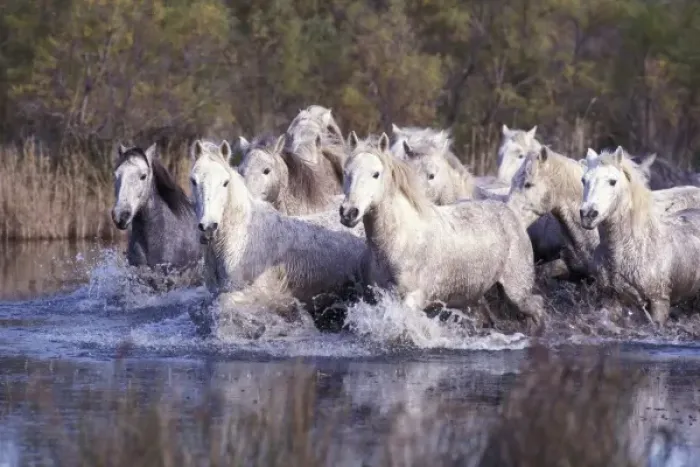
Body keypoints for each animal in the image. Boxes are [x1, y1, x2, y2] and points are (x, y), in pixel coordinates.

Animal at [339, 131, 545, 328]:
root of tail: (511, 213)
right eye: (346, 172)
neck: (401, 240)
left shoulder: (412, 299)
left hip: (517, 291)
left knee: (538, 308)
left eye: (376, 174)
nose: (349, 213)